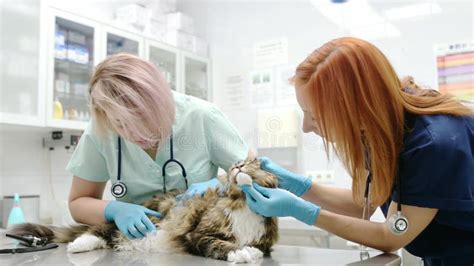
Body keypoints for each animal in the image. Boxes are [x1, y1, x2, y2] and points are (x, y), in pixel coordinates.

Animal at [9, 159, 280, 262]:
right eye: (236, 164)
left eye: (253, 163)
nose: (238, 166)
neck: (242, 203)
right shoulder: (198, 234)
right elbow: (220, 244)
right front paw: (242, 252)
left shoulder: (264, 241)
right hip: (133, 219)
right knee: (96, 231)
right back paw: (78, 245)